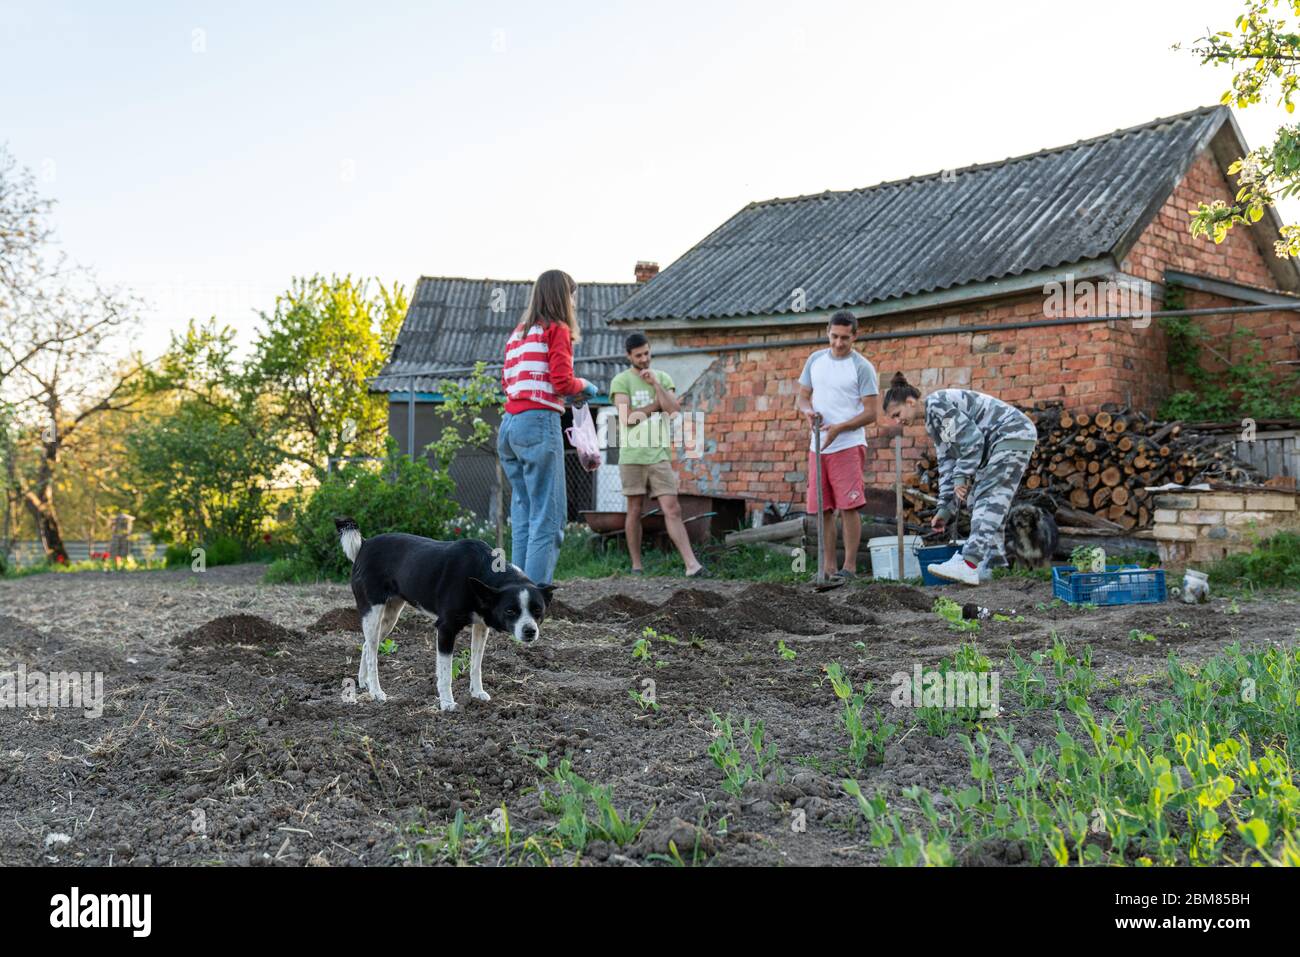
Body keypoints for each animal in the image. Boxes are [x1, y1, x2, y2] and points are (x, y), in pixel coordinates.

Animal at [332, 514, 551, 712]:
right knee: (372, 653)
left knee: (367, 645)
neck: (479, 571)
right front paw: (447, 703)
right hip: (372, 612)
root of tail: (365, 545)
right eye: (510, 610)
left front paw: (477, 693)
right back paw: (376, 692)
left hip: (389, 617)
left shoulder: (481, 627)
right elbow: (445, 673)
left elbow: (476, 664)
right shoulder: (446, 629)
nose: (530, 631)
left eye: (537, 610)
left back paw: (364, 682)